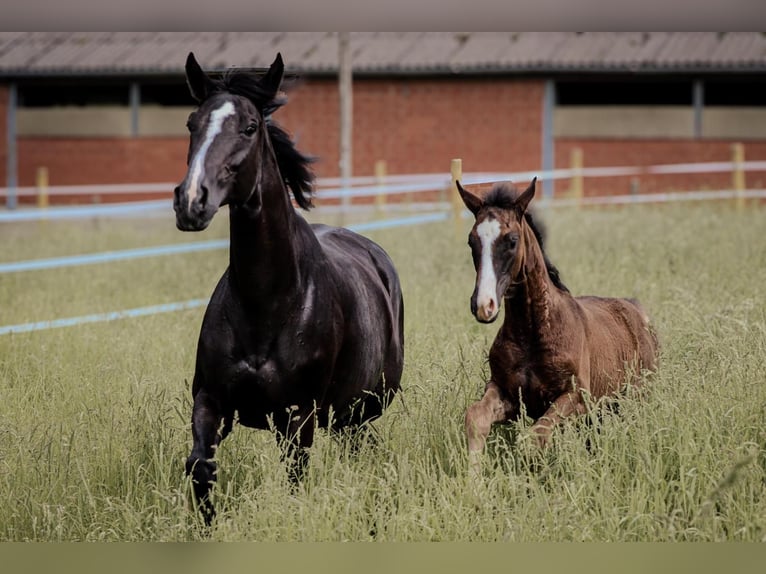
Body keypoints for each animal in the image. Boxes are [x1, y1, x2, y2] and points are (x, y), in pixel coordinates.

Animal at [173, 52, 405, 523]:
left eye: (249, 127)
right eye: (191, 123)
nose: (191, 202)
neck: (269, 305)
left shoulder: (299, 417)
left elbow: (295, 482)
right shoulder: (210, 401)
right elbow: (201, 467)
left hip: (357, 410)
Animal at [456, 178, 658, 472]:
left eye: (512, 240)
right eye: (472, 241)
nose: (484, 305)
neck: (532, 333)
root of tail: (638, 311)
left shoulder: (577, 397)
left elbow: (534, 438)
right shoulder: (506, 393)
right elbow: (475, 418)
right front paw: (474, 480)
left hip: (635, 400)